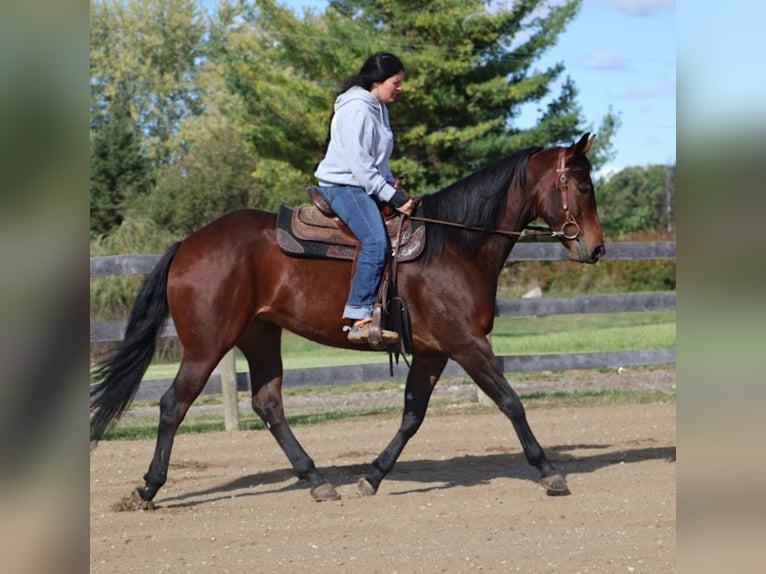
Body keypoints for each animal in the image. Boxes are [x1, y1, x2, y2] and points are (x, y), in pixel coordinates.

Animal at [90, 133, 605, 503]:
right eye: (582, 185)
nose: (596, 248)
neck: (455, 245)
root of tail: (187, 245)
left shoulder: (434, 352)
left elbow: (412, 415)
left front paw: (372, 476)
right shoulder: (467, 344)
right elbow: (511, 402)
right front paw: (548, 472)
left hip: (260, 336)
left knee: (268, 404)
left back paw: (318, 481)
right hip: (206, 345)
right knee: (173, 405)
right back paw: (149, 488)